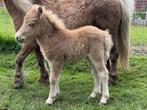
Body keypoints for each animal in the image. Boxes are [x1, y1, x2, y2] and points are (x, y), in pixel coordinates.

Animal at [3, 0, 134, 87]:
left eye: (31, 24)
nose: (17, 37)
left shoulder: (29, 42)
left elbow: (19, 58)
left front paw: (17, 81)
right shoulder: (36, 44)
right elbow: (40, 61)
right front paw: (43, 78)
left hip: (111, 34)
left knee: (113, 55)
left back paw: (113, 78)